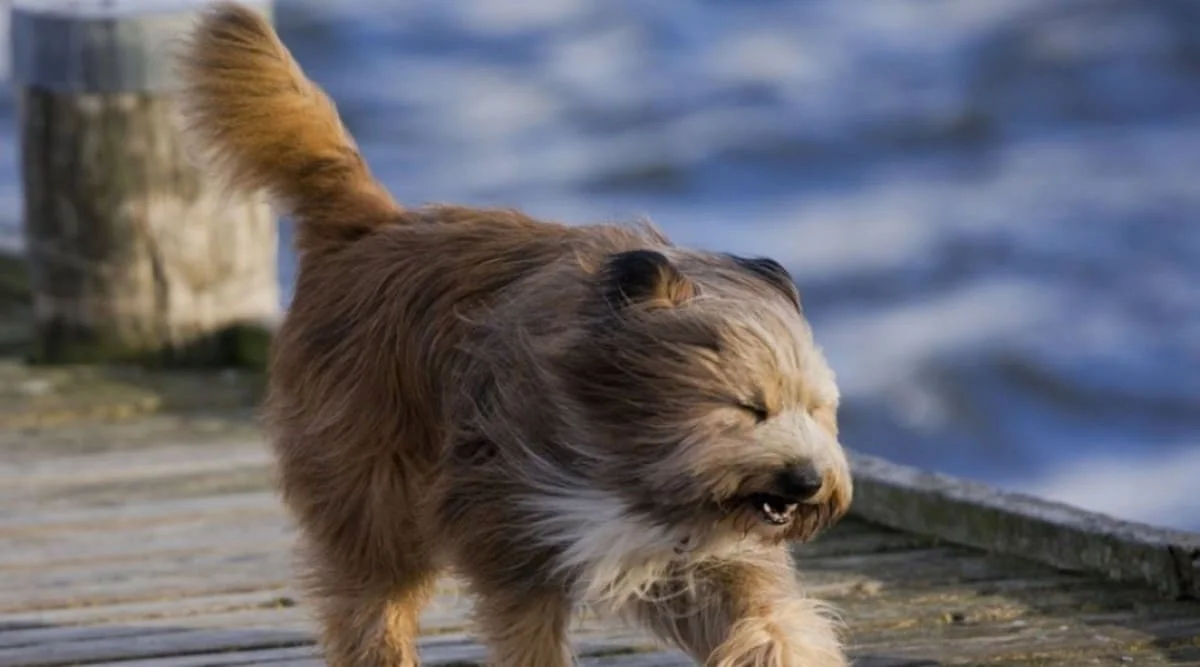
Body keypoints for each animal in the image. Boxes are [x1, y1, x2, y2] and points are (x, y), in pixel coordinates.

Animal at [175, 2, 854, 662]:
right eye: (747, 408)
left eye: (818, 411)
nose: (806, 481)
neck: (625, 454)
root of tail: (372, 225)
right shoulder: (514, 530)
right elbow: (527, 636)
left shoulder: (699, 557)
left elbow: (768, 622)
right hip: (371, 490)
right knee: (370, 602)